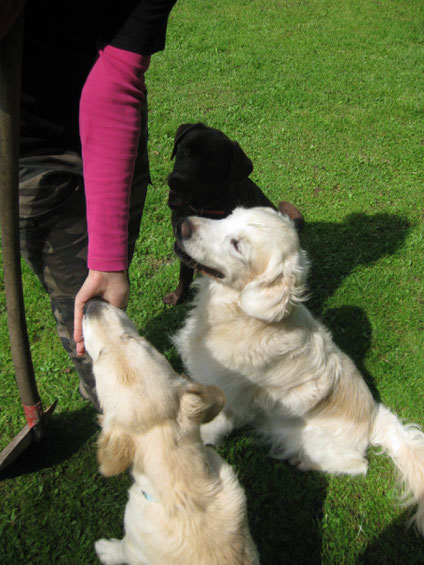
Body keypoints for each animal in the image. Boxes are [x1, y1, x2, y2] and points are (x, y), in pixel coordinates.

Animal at [81, 300, 256, 564]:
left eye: (100, 357)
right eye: (133, 338)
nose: (92, 305)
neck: (188, 495)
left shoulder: (132, 545)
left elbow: (121, 547)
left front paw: (105, 549)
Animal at [163, 122, 304, 304]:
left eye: (211, 164)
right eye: (186, 149)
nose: (177, 181)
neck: (202, 207)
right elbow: (184, 276)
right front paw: (177, 296)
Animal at [172, 206, 424, 532]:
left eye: (237, 245)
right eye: (228, 215)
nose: (183, 224)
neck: (240, 316)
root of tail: (374, 417)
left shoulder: (230, 404)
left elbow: (206, 430)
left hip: (312, 441)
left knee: (358, 466)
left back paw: (304, 462)